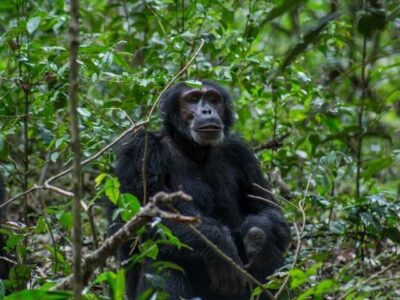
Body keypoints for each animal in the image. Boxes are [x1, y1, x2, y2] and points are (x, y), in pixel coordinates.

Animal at [113, 81, 290, 298]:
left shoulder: (241, 153)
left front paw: (256, 234)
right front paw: (219, 246)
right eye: (192, 99)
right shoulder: (140, 150)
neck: (193, 148)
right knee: (162, 259)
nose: (207, 110)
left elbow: (269, 211)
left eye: (213, 99)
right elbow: (140, 219)